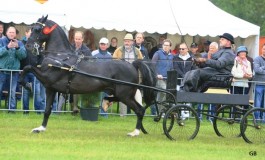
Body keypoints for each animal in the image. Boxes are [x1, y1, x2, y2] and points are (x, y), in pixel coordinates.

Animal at [21, 15, 157, 137]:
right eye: (32, 28)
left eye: (37, 29)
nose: (28, 46)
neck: (59, 57)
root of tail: (132, 65)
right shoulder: (50, 88)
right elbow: (47, 110)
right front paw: (40, 128)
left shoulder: (46, 79)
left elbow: (27, 68)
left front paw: (26, 85)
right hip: (122, 93)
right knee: (129, 105)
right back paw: (107, 103)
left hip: (125, 95)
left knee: (140, 110)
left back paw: (135, 132)